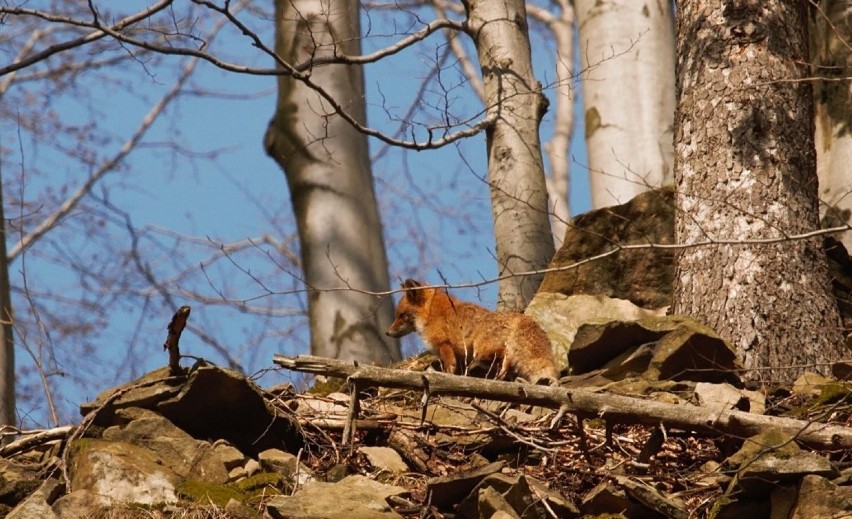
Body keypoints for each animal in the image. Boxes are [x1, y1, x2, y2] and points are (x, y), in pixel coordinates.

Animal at [386, 280, 560, 386]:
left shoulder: (444, 345)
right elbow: (459, 370)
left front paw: (446, 378)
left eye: (401, 315)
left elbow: (449, 367)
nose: (387, 332)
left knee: (506, 353)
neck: (431, 313)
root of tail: (522, 317)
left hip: (481, 351)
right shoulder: (460, 355)